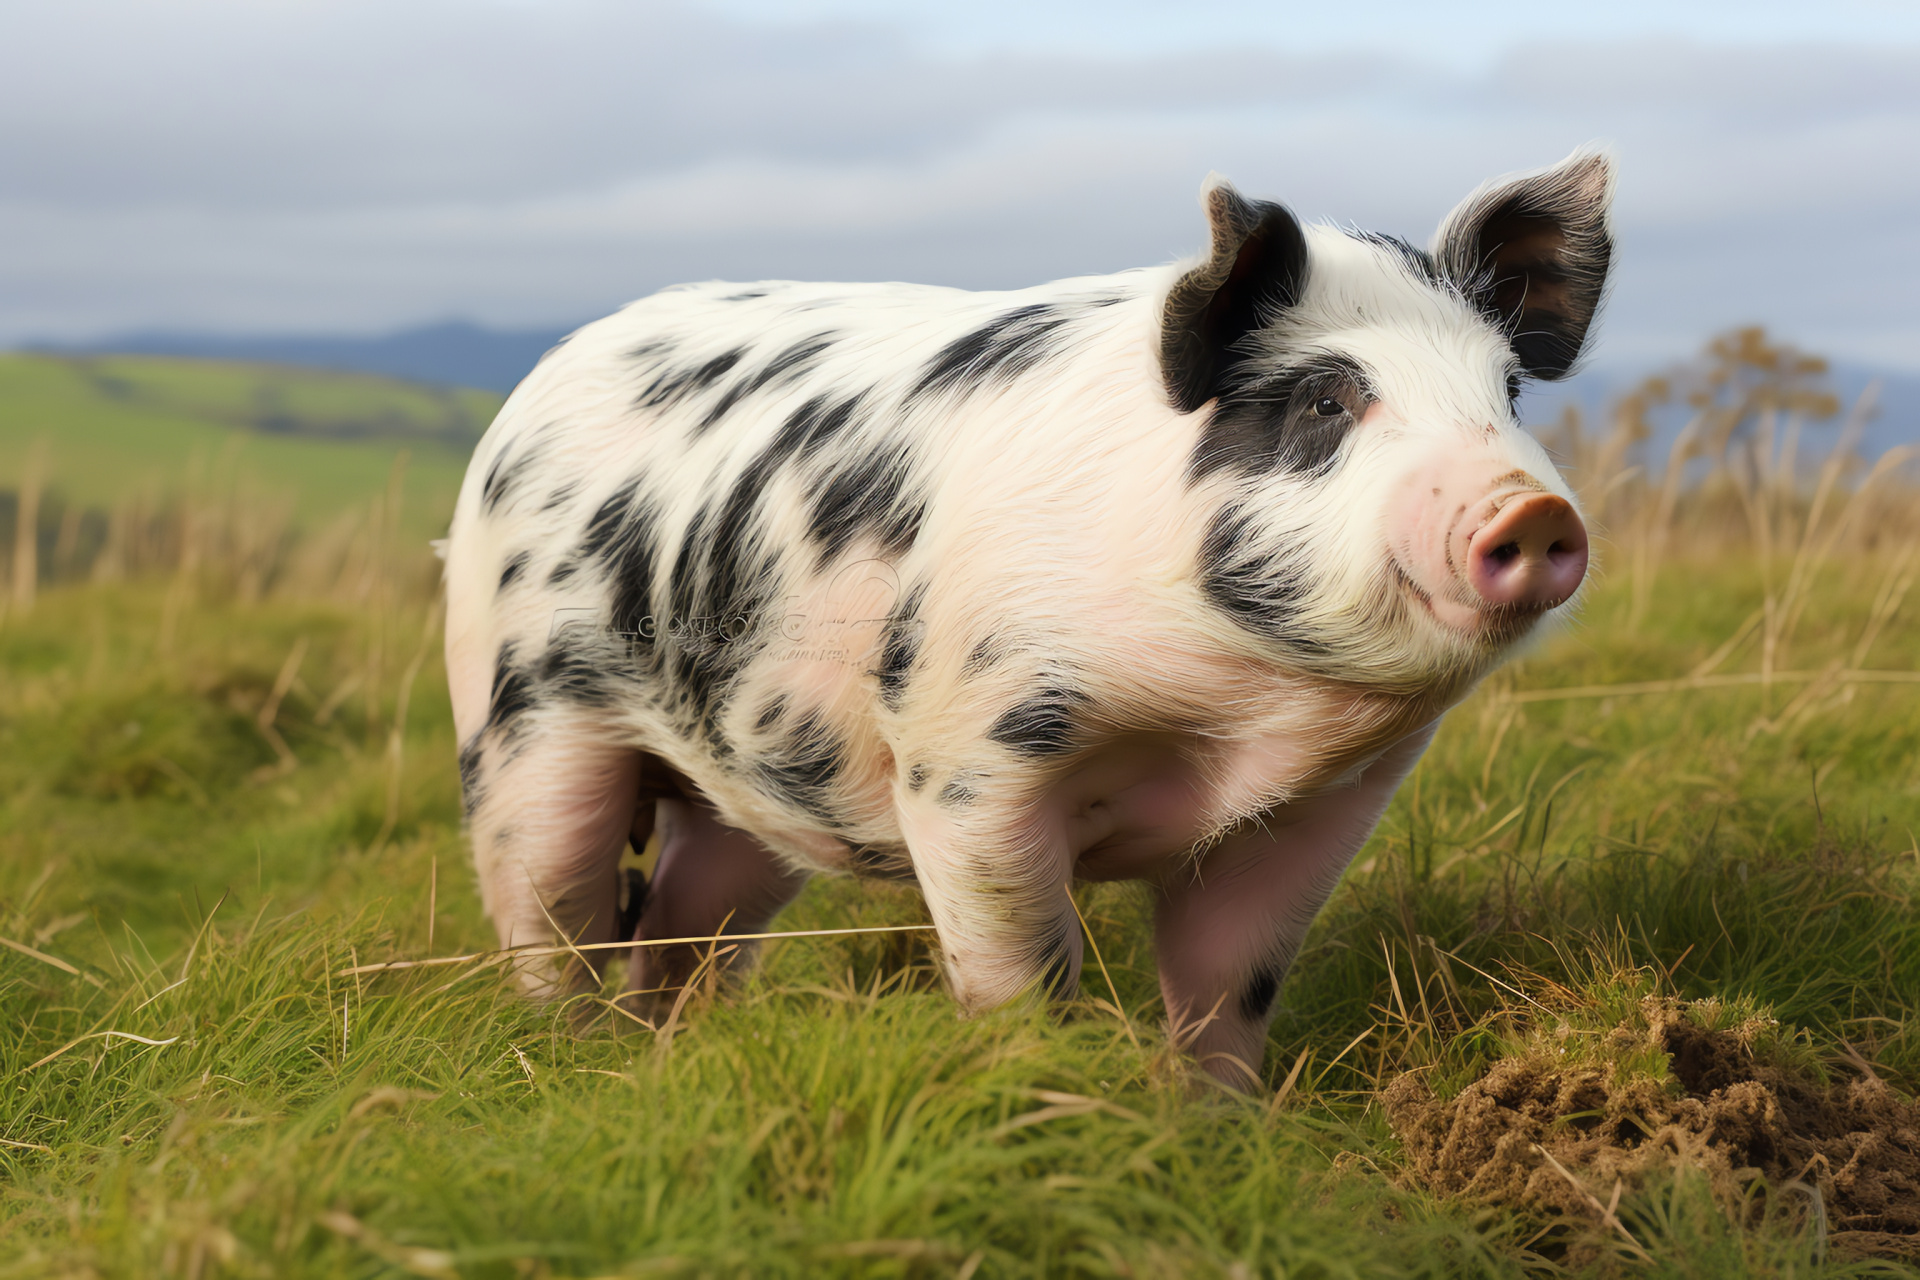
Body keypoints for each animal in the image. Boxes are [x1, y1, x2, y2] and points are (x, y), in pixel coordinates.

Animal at [441, 152, 1612, 1090]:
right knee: (551, 916)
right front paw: (1044, 1089)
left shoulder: (1324, 806)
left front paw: (1220, 1127)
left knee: (685, 925)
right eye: (1327, 399)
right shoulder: (961, 752)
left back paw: (672, 1060)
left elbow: (1230, 982)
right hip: (519, 720)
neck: (1226, 729)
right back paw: (571, 1067)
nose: (1534, 507)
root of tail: (542, 378)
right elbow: (1025, 970)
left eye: (1509, 393)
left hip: (751, 778)